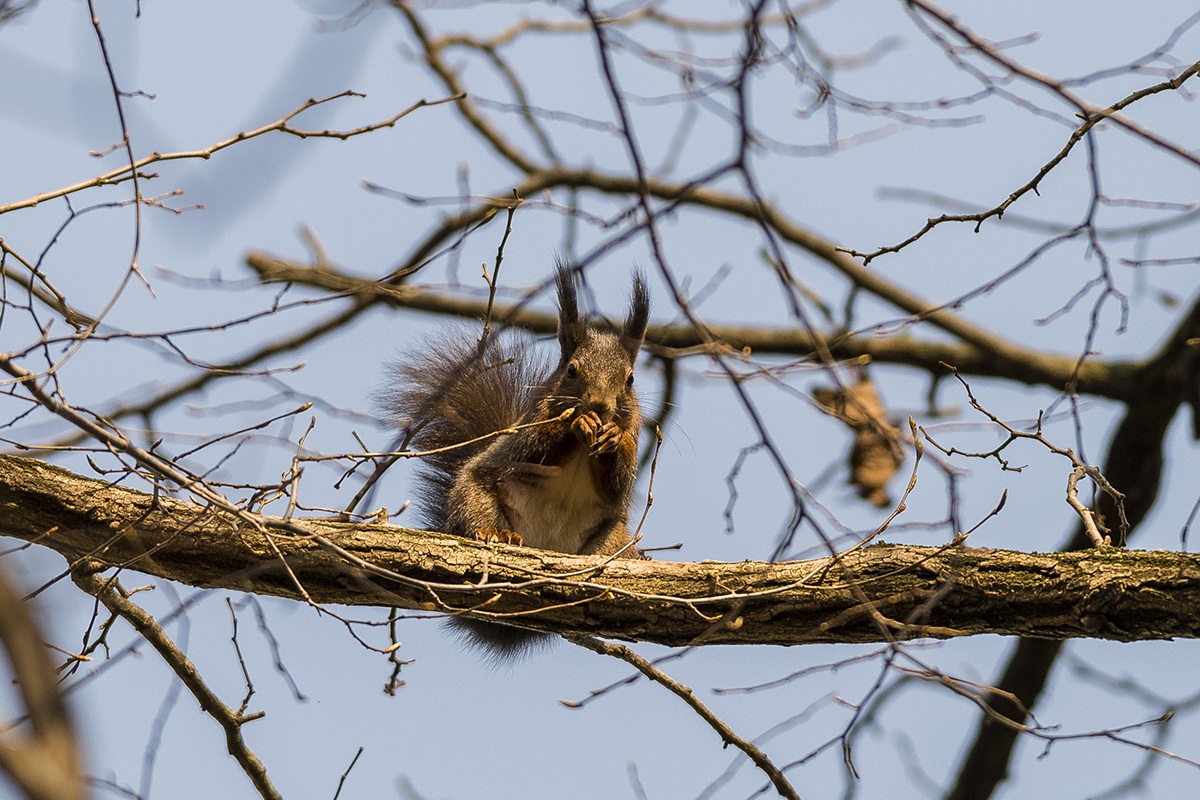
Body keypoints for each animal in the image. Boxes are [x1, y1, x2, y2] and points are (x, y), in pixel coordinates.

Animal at [380, 265, 650, 657]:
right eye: (571, 371)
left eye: (630, 379)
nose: (600, 406)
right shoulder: (526, 434)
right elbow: (536, 447)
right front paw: (574, 423)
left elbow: (619, 484)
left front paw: (614, 439)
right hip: (473, 495)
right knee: (477, 514)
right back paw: (499, 534)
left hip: (612, 533)